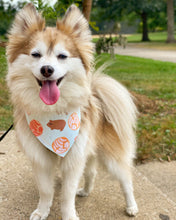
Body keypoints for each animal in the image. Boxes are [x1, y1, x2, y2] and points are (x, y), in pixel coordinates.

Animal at [6, 3, 139, 220]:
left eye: (62, 56)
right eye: (36, 54)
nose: (47, 69)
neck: (52, 110)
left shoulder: (74, 158)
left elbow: (67, 195)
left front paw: (68, 215)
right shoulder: (41, 159)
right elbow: (46, 190)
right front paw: (42, 211)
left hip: (110, 158)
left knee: (125, 179)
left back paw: (131, 206)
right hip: (89, 151)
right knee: (91, 173)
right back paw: (85, 191)